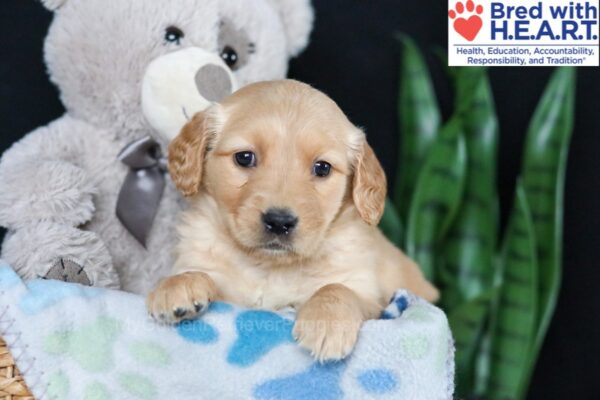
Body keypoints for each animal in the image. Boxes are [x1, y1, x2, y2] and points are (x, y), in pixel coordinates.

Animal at [148, 79, 438, 360]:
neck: (271, 266)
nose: (279, 221)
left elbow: (338, 288)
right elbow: (197, 272)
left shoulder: (371, 296)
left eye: (322, 168)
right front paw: (178, 286)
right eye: (245, 157)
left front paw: (327, 322)